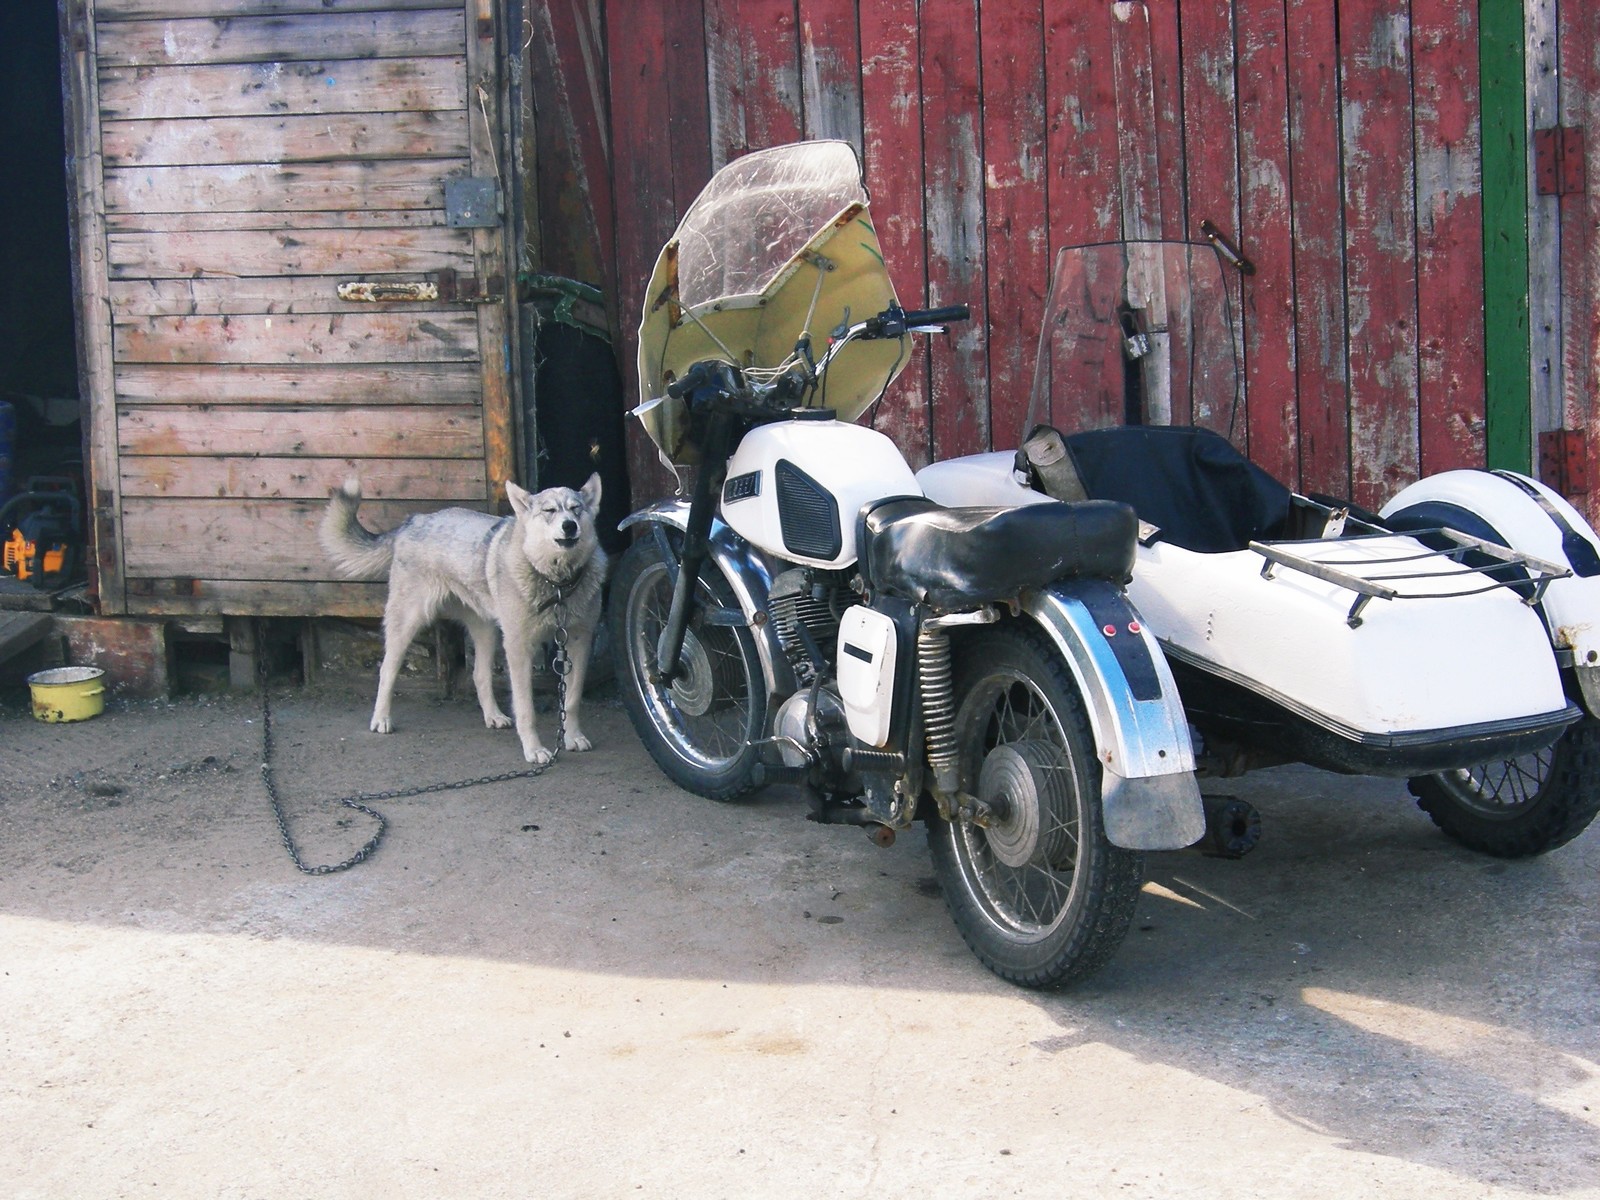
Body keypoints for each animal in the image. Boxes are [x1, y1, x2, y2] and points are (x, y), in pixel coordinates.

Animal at [321, 476, 608, 764]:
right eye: (549, 510)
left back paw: (493, 716)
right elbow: (526, 710)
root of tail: (413, 521)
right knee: (387, 671)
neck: (557, 584)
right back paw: (381, 719)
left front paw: (572, 737)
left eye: (576, 509)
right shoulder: (519, 648)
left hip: (487, 631)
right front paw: (534, 749)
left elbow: (571, 701)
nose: (569, 526)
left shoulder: (579, 642)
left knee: (479, 675)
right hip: (408, 623)